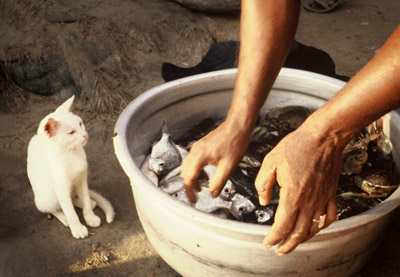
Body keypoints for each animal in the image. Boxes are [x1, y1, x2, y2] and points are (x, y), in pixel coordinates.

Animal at [26, 95, 115, 237]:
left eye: (80, 123)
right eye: (71, 132)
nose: (85, 134)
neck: (71, 153)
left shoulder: (82, 179)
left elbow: (84, 197)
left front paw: (90, 217)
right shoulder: (61, 188)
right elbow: (70, 211)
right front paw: (77, 229)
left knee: (74, 199)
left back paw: (88, 202)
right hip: (49, 197)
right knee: (55, 208)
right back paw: (64, 218)